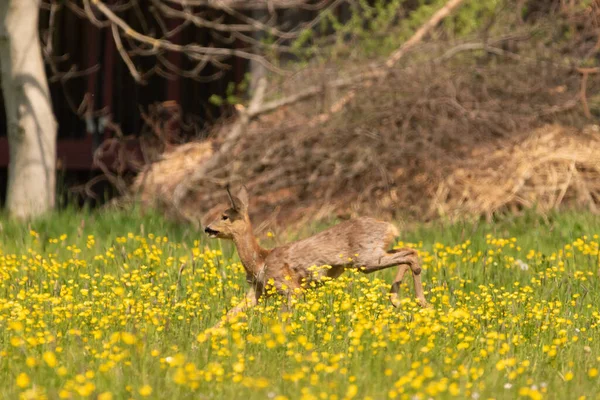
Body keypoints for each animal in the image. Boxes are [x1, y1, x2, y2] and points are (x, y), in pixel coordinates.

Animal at [204, 186, 428, 326]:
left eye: (225, 216)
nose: (207, 228)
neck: (260, 261)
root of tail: (390, 227)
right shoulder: (258, 291)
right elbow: (228, 315)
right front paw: (201, 342)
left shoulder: (289, 287)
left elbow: (285, 318)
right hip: (374, 254)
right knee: (410, 250)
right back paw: (401, 300)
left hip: (366, 259)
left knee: (410, 255)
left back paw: (418, 301)